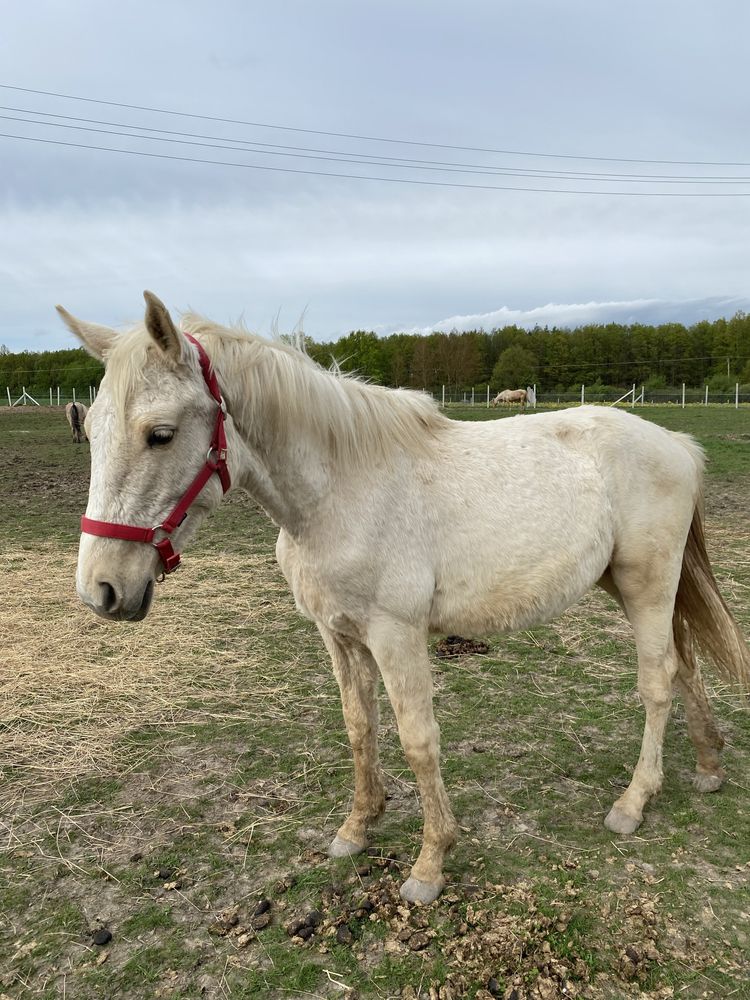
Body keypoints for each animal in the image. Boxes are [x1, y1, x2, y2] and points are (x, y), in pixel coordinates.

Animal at [57, 292, 750, 908]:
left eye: (161, 434)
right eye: (89, 429)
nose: (102, 589)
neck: (338, 491)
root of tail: (677, 444)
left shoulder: (396, 634)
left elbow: (418, 739)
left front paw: (430, 862)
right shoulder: (338, 634)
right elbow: (359, 728)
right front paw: (357, 828)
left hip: (647, 584)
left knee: (657, 682)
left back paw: (633, 802)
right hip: (631, 587)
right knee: (684, 668)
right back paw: (709, 765)